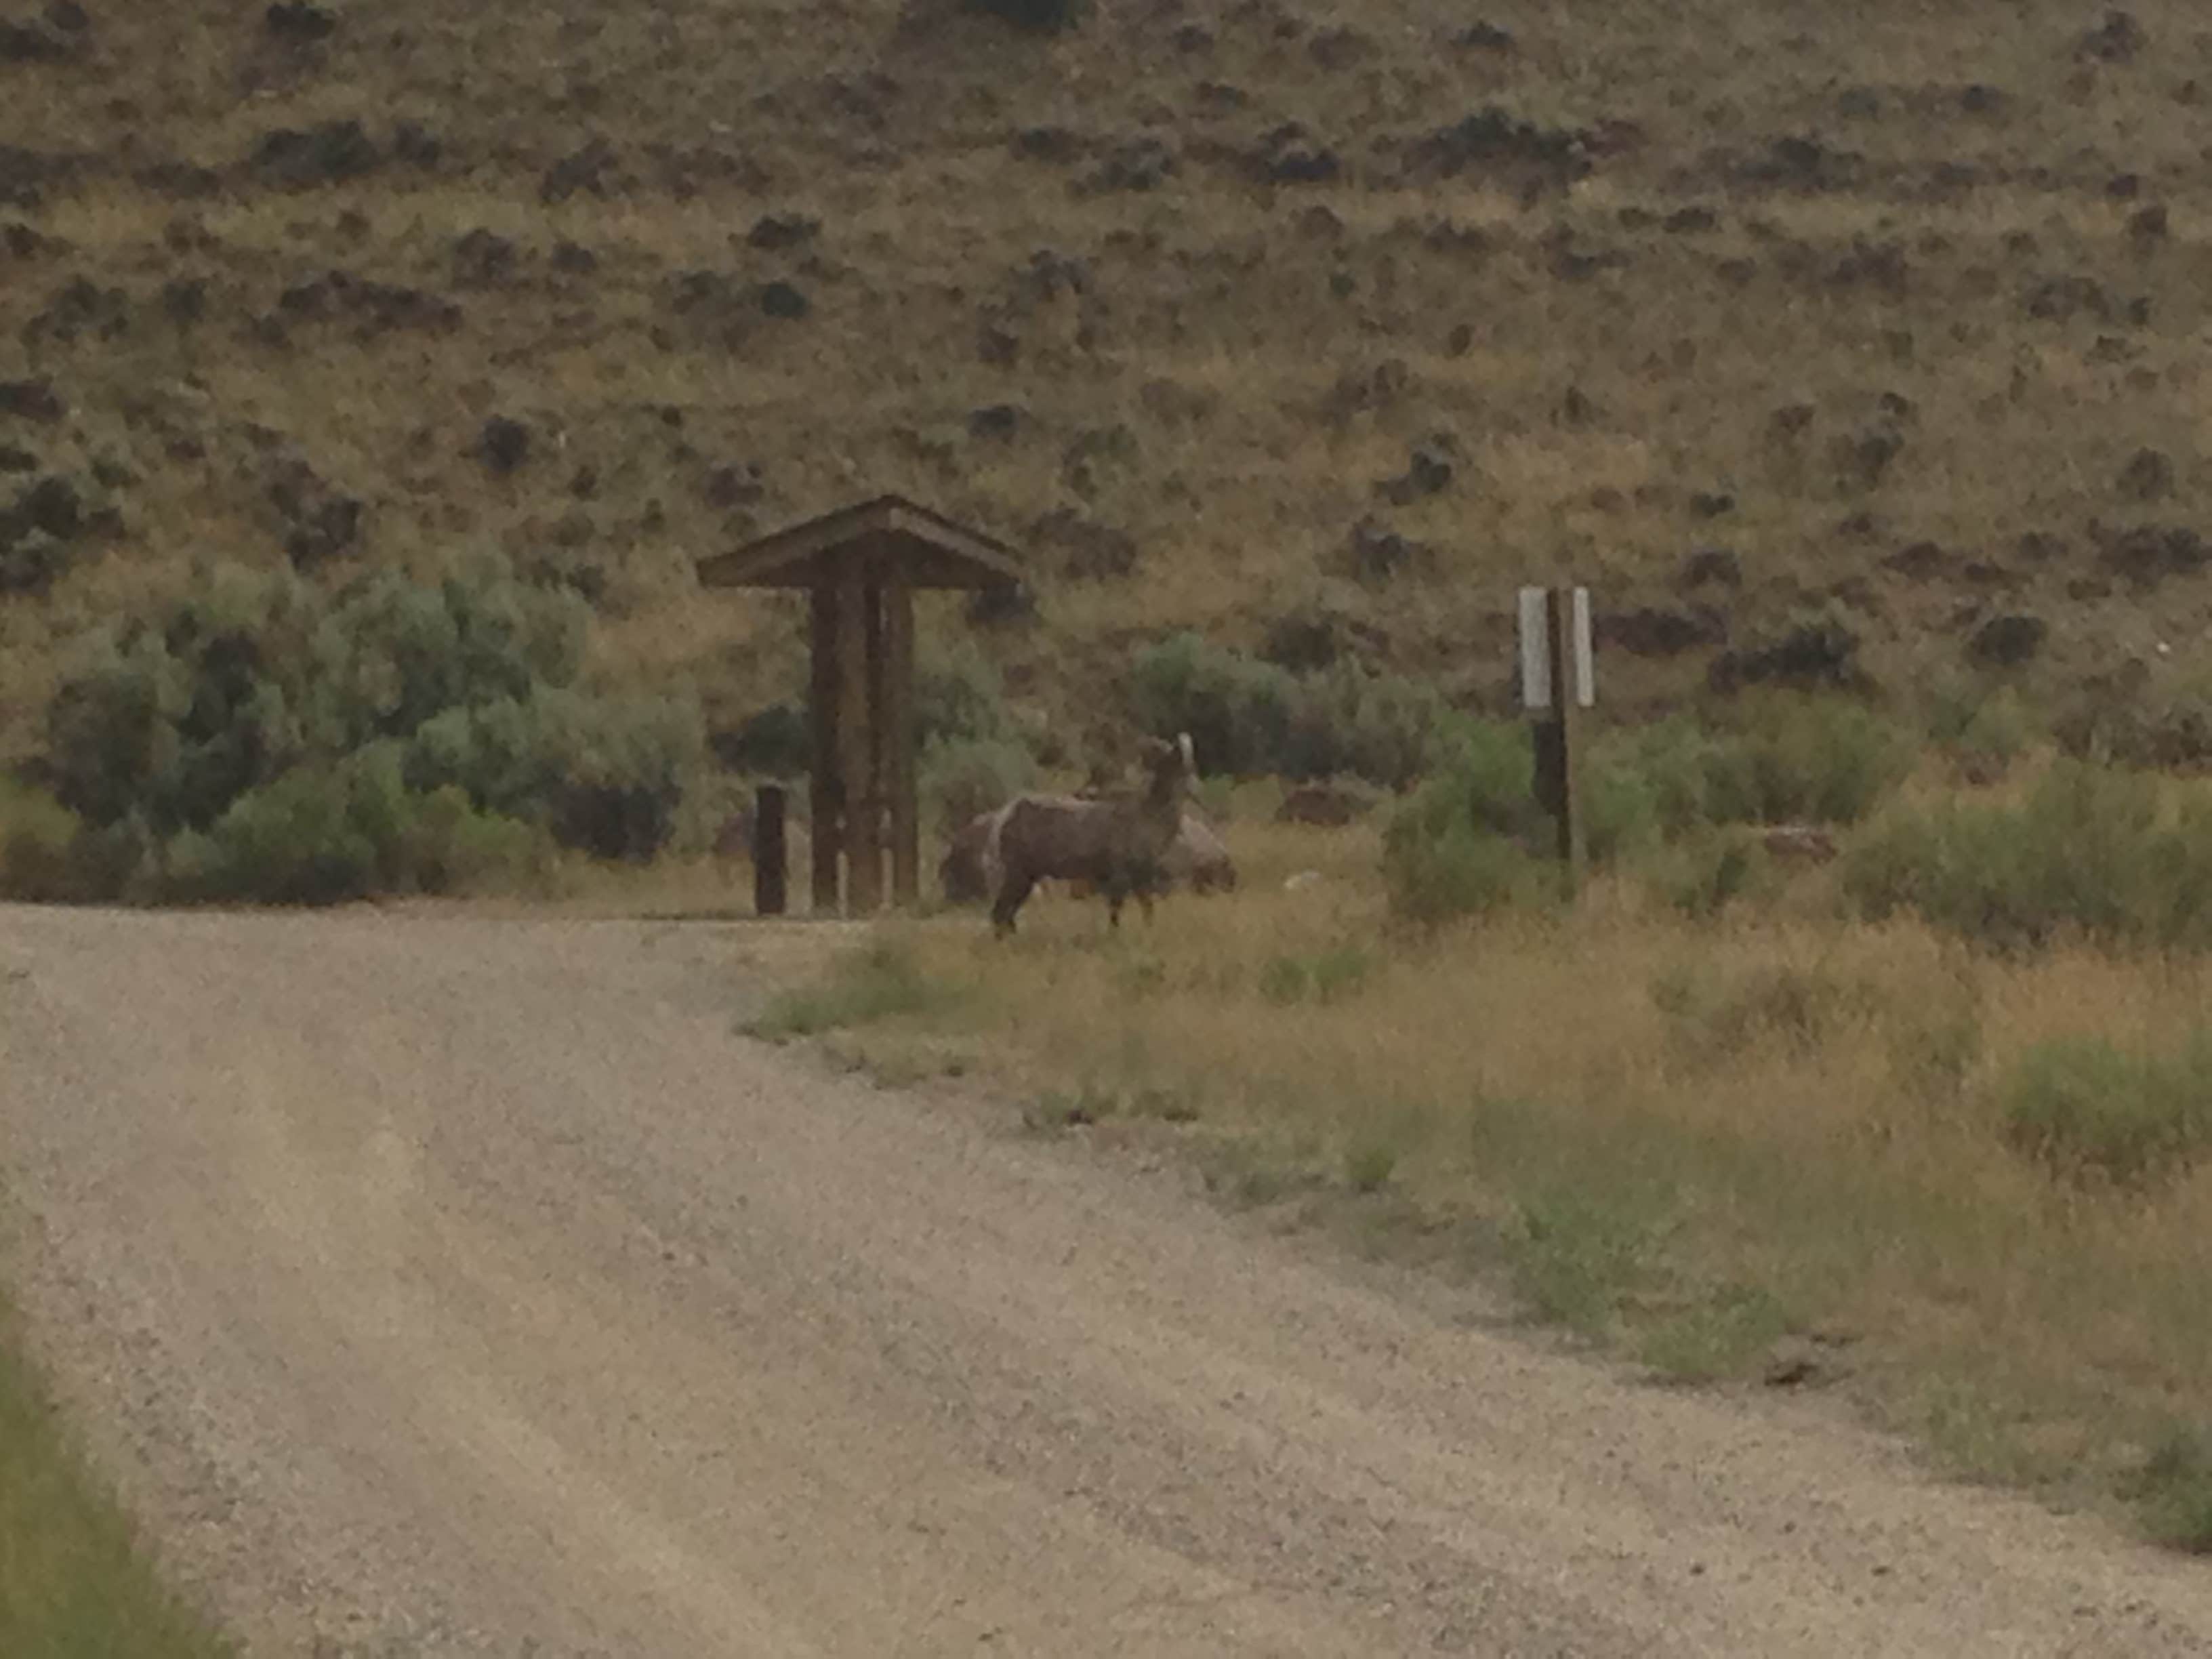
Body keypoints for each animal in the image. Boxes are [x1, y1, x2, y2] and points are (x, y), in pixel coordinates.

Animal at [988, 732, 1196, 936]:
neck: (1150, 818)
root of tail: (1008, 818)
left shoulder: (1141, 879)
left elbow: (1147, 910)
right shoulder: (1120, 877)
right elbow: (1116, 913)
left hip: (1029, 878)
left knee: (1008, 916)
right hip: (1018, 875)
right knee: (999, 913)